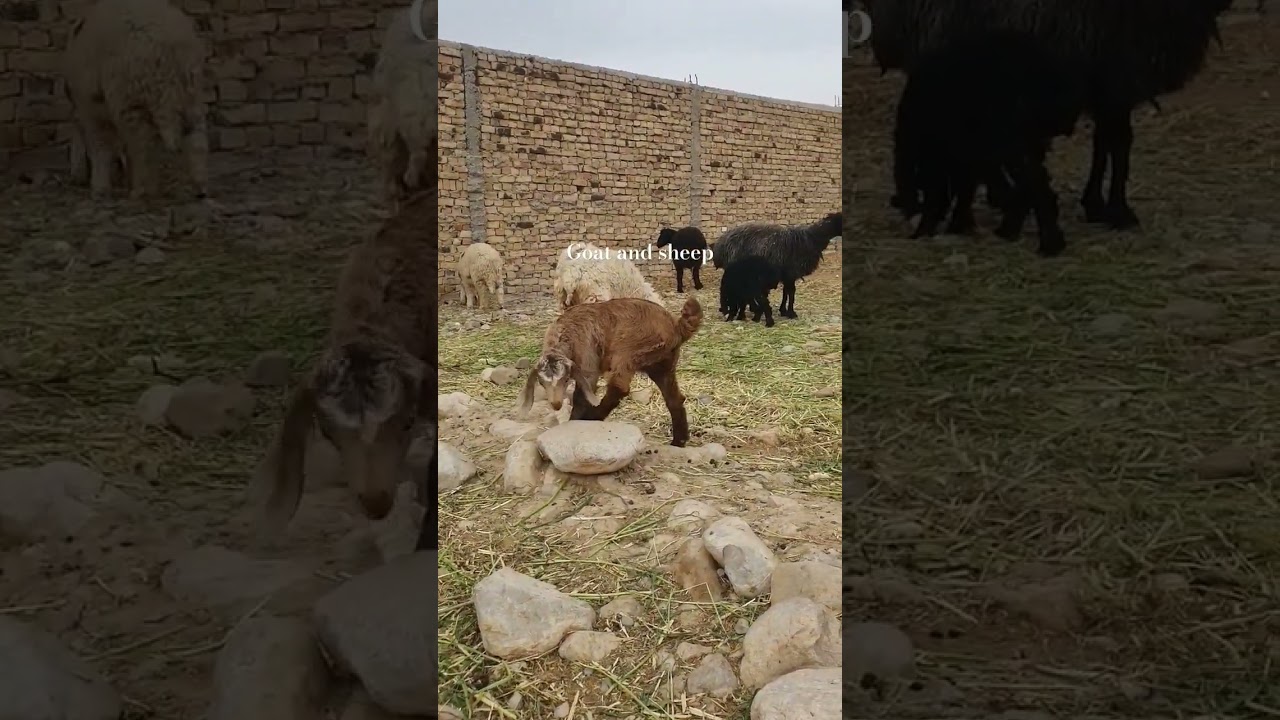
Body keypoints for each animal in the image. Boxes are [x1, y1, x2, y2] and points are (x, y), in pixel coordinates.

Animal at [62, 0, 208, 201]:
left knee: (143, 142)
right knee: (195, 136)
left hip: (130, 97)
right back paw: (196, 187)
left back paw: (143, 190)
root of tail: (167, 48)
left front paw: (100, 188)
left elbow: (101, 146)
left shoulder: (91, 106)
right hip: (190, 91)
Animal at [517, 297, 703, 447]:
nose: (556, 404)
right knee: (674, 399)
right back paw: (679, 441)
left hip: (628, 353)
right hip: (662, 364)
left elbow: (581, 397)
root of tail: (676, 327)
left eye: (566, 379)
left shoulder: (588, 364)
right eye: (541, 382)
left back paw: (593, 417)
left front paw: (574, 422)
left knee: (619, 388)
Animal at [711, 212, 842, 320]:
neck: (811, 238)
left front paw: (783, 310)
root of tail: (720, 245)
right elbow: (791, 292)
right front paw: (791, 313)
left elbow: (786, 292)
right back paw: (753, 309)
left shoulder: (787, 275)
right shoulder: (791, 272)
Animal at [864, 0, 1235, 230]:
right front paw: (1118, 210)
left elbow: (1104, 145)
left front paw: (1096, 205)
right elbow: (1120, 146)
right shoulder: (1117, 78)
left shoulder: (1105, 88)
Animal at [892, 31, 1085, 256]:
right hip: (1028, 140)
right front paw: (958, 225)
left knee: (1036, 184)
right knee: (1036, 183)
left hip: (1011, 139)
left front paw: (927, 231)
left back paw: (1046, 244)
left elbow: (943, 191)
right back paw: (1014, 230)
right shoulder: (968, 154)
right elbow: (964, 189)